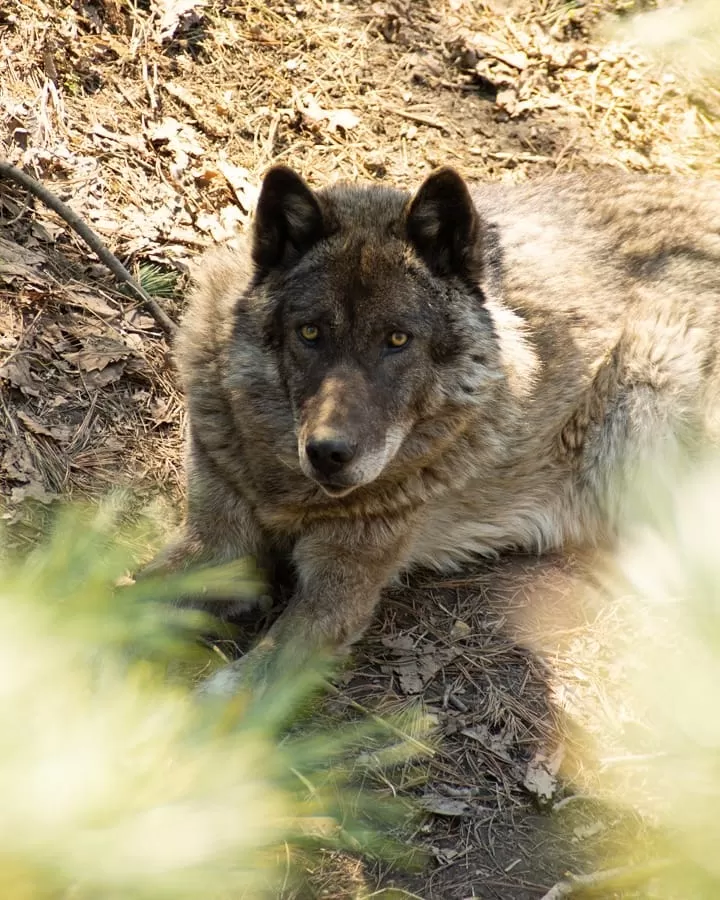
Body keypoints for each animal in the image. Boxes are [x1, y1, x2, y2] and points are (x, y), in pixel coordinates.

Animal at [143, 164, 720, 693]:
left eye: (398, 340)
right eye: (309, 333)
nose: (328, 453)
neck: (286, 493)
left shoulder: (337, 592)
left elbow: (235, 692)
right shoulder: (216, 544)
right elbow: (133, 590)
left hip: (651, 391)